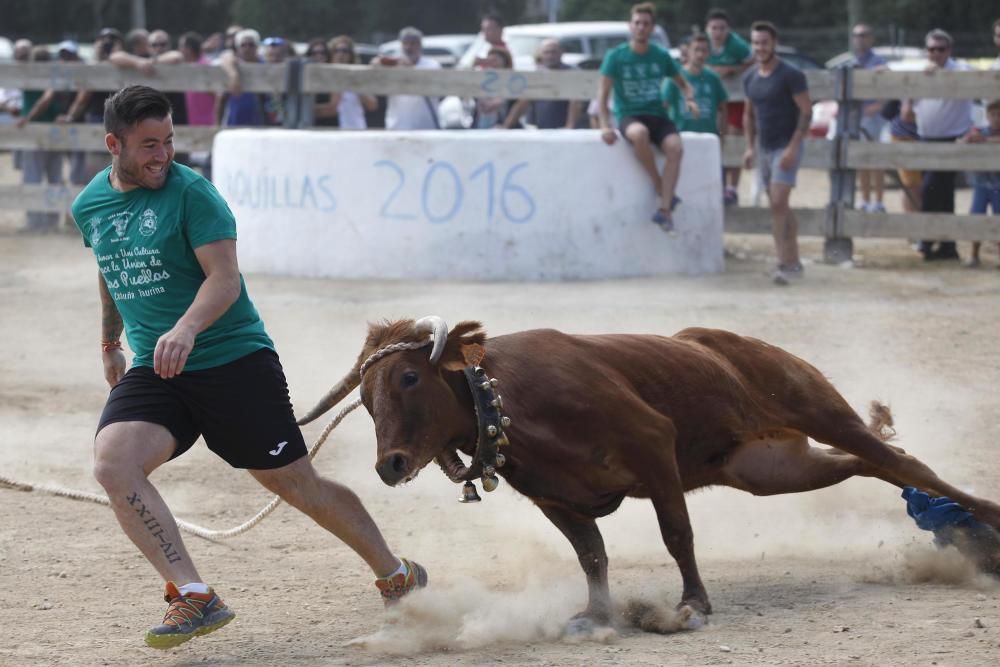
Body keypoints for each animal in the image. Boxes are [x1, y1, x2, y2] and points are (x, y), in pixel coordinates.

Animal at [300, 318, 1000, 632]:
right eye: (365, 400)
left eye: (408, 377)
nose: (389, 465)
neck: (510, 400)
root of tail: (735, 344)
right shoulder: (555, 499)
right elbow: (591, 554)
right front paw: (595, 614)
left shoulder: (655, 449)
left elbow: (676, 535)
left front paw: (692, 604)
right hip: (770, 469)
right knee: (864, 465)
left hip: (816, 408)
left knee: (898, 460)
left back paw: (983, 518)